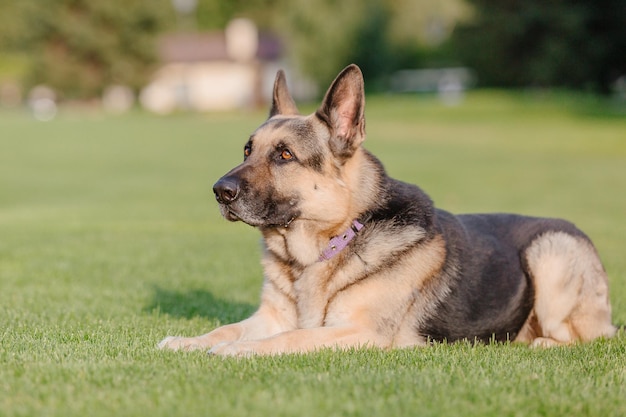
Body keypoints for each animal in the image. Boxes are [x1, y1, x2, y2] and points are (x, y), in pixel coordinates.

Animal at [157, 64, 616, 354]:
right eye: (247, 151)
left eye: (284, 155)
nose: (219, 191)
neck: (327, 245)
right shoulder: (271, 316)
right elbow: (227, 327)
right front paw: (190, 341)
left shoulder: (359, 333)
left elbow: (288, 339)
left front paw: (238, 350)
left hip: (550, 251)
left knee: (587, 337)